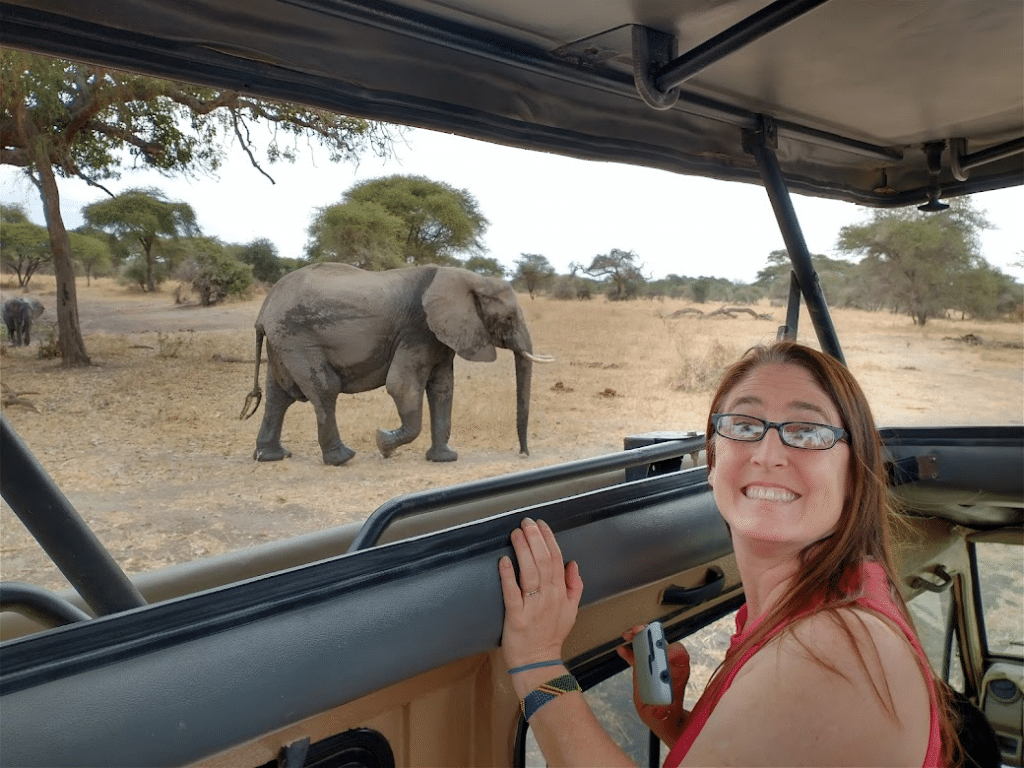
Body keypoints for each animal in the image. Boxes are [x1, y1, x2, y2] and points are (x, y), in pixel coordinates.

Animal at [239, 264, 552, 466]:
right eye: (509, 318)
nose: (523, 454)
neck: (470, 278)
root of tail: (263, 310)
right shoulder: (418, 329)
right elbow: (401, 385)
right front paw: (383, 444)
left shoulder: (439, 335)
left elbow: (442, 388)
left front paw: (445, 458)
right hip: (298, 339)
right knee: (325, 389)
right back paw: (342, 458)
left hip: (283, 343)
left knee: (279, 396)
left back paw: (272, 457)